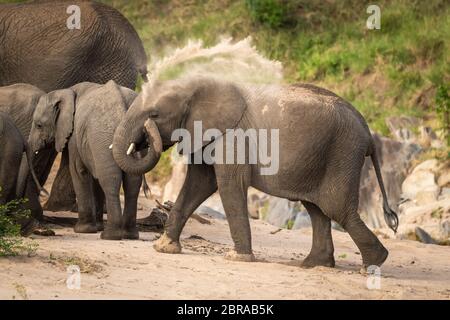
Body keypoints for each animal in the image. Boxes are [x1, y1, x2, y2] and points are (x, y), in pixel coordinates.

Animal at [27, 80, 142, 240]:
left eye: (38, 125)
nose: (44, 192)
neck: (67, 91)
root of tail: (121, 104)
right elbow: (95, 177)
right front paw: (97, 227)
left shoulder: (75, 135)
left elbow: (78, 171)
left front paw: (83, 230)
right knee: (133, 182)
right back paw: (129, 234)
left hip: (102, 135)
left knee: (110, 179)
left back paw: (110, 235)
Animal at [110, 76, 400, 268]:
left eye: (154, 114)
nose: (146, 136)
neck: (198, 82)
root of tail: (368, 131)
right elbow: (199, 184)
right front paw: (164, 248)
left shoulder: (232, 136)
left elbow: (227, 184)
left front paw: (237, 258)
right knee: (316, 209)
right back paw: (312, 264)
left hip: (343, 155)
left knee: (336, 209)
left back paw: (372, 264)